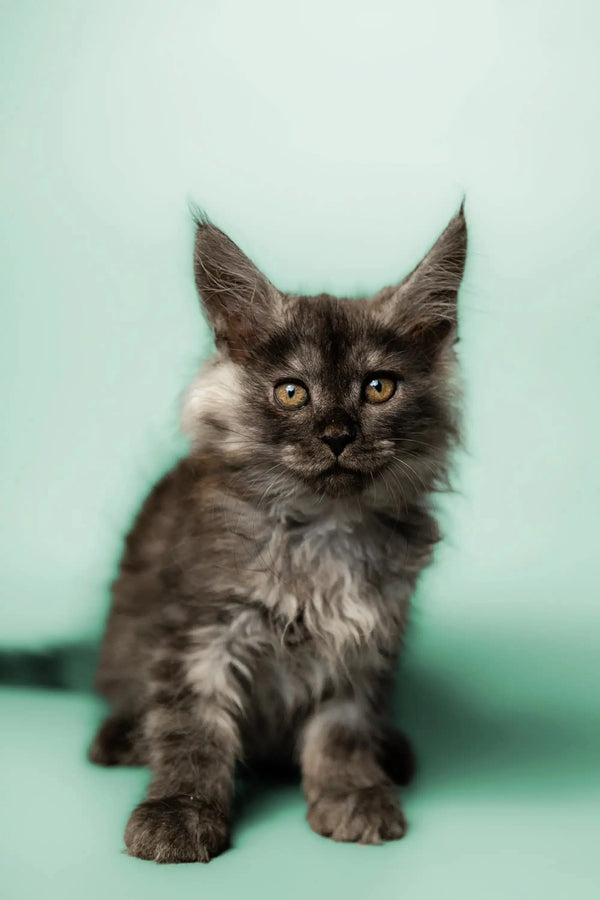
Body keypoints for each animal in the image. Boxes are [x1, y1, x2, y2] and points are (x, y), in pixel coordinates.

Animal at [89, 207, 466, 860]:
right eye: (292, 392)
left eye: (379, 388)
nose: (337, 434)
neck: (322, 530)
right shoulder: (201, 629)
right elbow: (193, 728)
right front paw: (179, 812)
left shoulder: (363, 640)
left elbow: (343, 730)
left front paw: (352, 794)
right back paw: (120, 737)